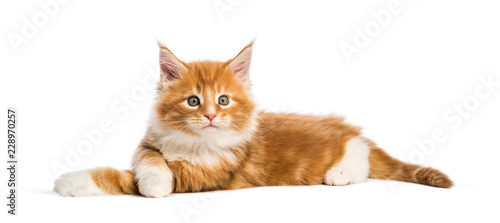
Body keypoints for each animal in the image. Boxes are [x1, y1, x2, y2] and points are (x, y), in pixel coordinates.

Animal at [53, 41, 454, 197]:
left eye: (224, 100)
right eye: (194, 101)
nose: (211, 115)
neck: (195, 143)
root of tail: (353, 131)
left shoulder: (206, 175)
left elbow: (121, 177)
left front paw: (70, 181)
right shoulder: (150, 141)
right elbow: (146, 157)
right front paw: (154, 177)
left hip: (351, 153)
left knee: (361, 162)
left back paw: (339, 173)